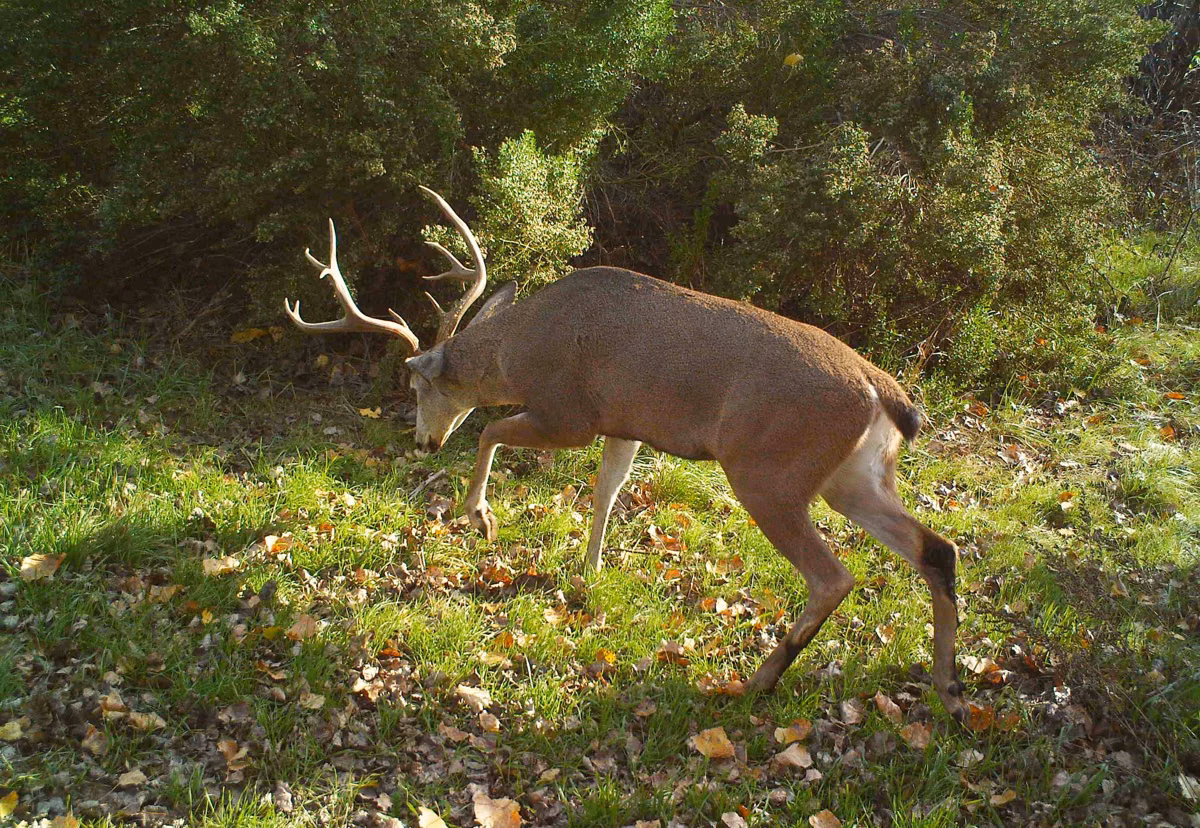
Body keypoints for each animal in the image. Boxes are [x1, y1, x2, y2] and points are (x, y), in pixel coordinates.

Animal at [284, 186, 968, 720]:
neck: (518, 350)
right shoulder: (625, 424)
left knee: (834, 576)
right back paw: (947, 685)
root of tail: (882, 392)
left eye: (417, 387)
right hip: (854, 476)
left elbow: (488, 433)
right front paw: (588, 571)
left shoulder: (570, 413)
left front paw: (481, 518)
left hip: (768, 468)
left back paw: (756, 682)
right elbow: (606, 491)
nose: (422, 441)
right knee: (937, 548)